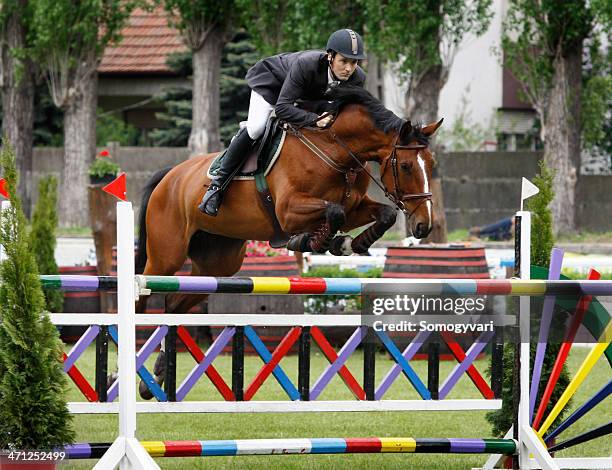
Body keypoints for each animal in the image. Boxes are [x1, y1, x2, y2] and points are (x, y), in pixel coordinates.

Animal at [135, 85, 440, 396]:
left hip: (217, 265)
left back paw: (155, 377)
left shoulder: (355, 207)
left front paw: (348, 244)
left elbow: (381, 214)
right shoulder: (289, 210)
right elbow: (334, 212)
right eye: (406, 166)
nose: (423, 225)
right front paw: (311, 242)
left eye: (432, 165)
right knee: (143, 296)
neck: (335, 150)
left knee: (173, 303)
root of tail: (169, 176)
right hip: (166, 257)